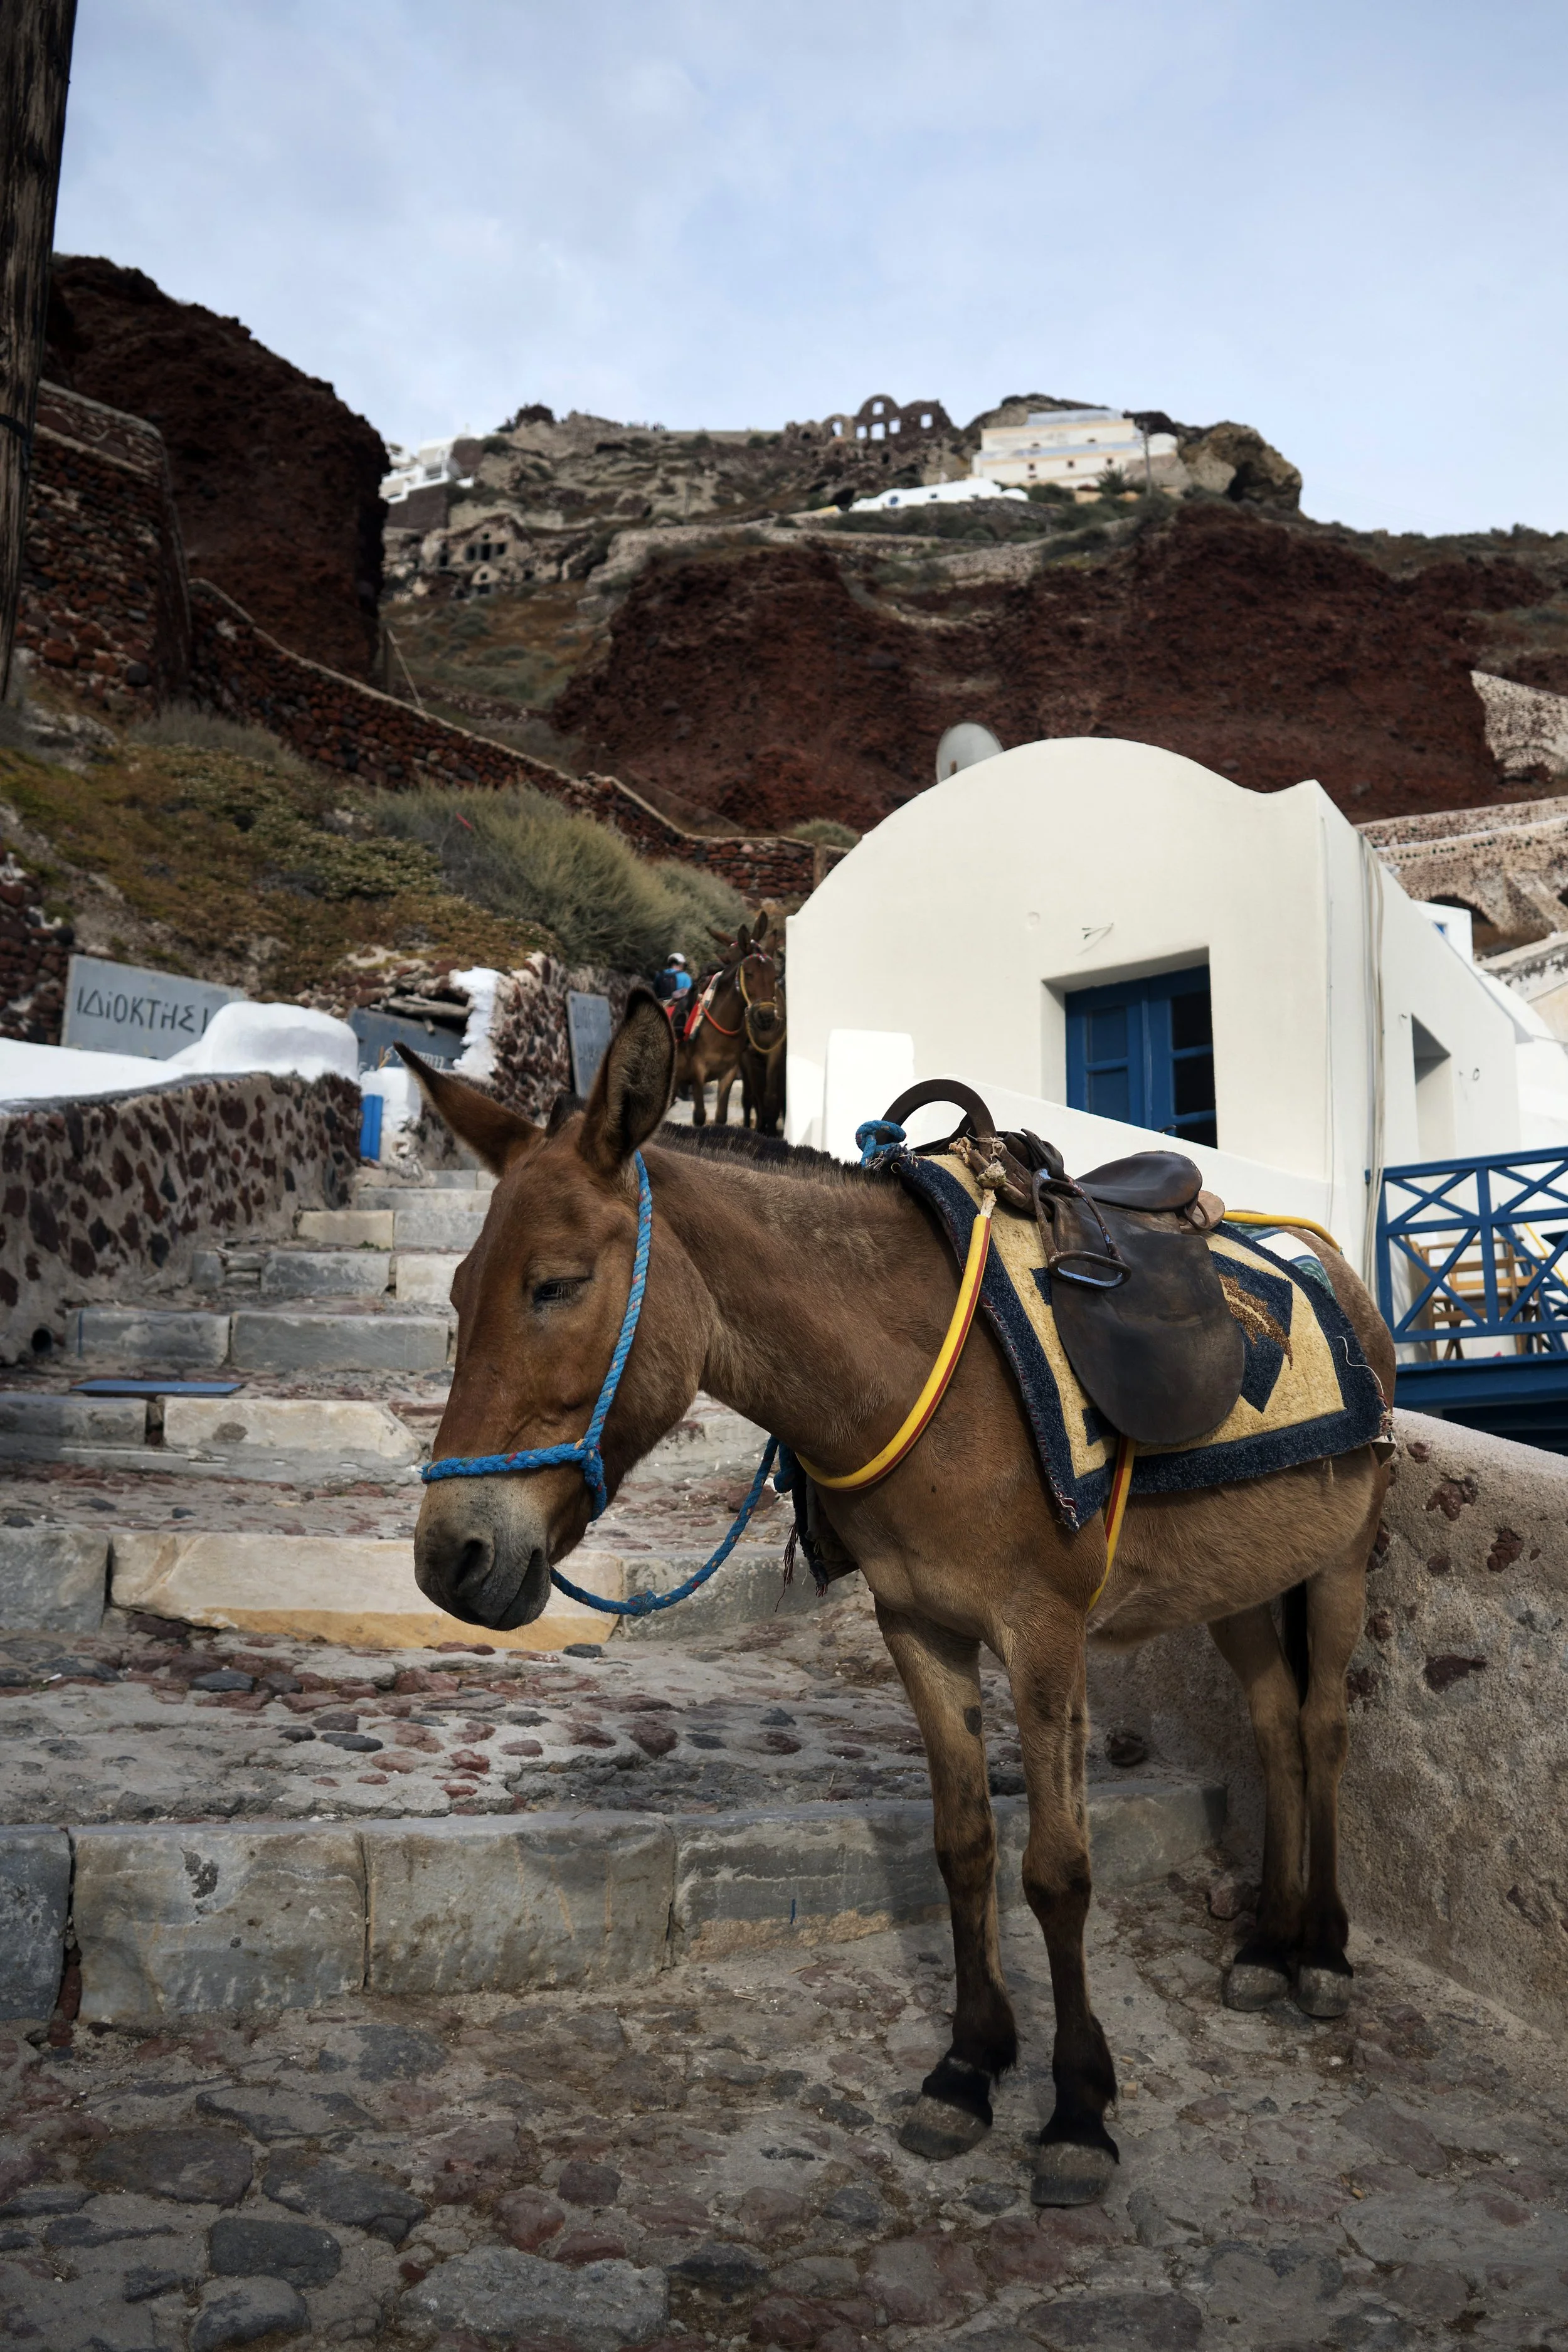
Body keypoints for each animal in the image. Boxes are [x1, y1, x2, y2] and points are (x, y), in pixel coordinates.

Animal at [406, 993, 1395, 2210]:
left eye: (555, 1284)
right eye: (458, 1295)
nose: (449, 1558)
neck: (929, 1370)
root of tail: (1326, 1259)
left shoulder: (1045, 1636)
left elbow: (1057, 1870)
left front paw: (1078, 2108)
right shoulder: (918, 1626)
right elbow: (962, 1844)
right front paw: (968, 2069)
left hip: (1341, 1559)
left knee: (1324, 1725)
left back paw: (1322, 1951)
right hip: (1244, 1581)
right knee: (1272, 1729)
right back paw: (1263, 1944)